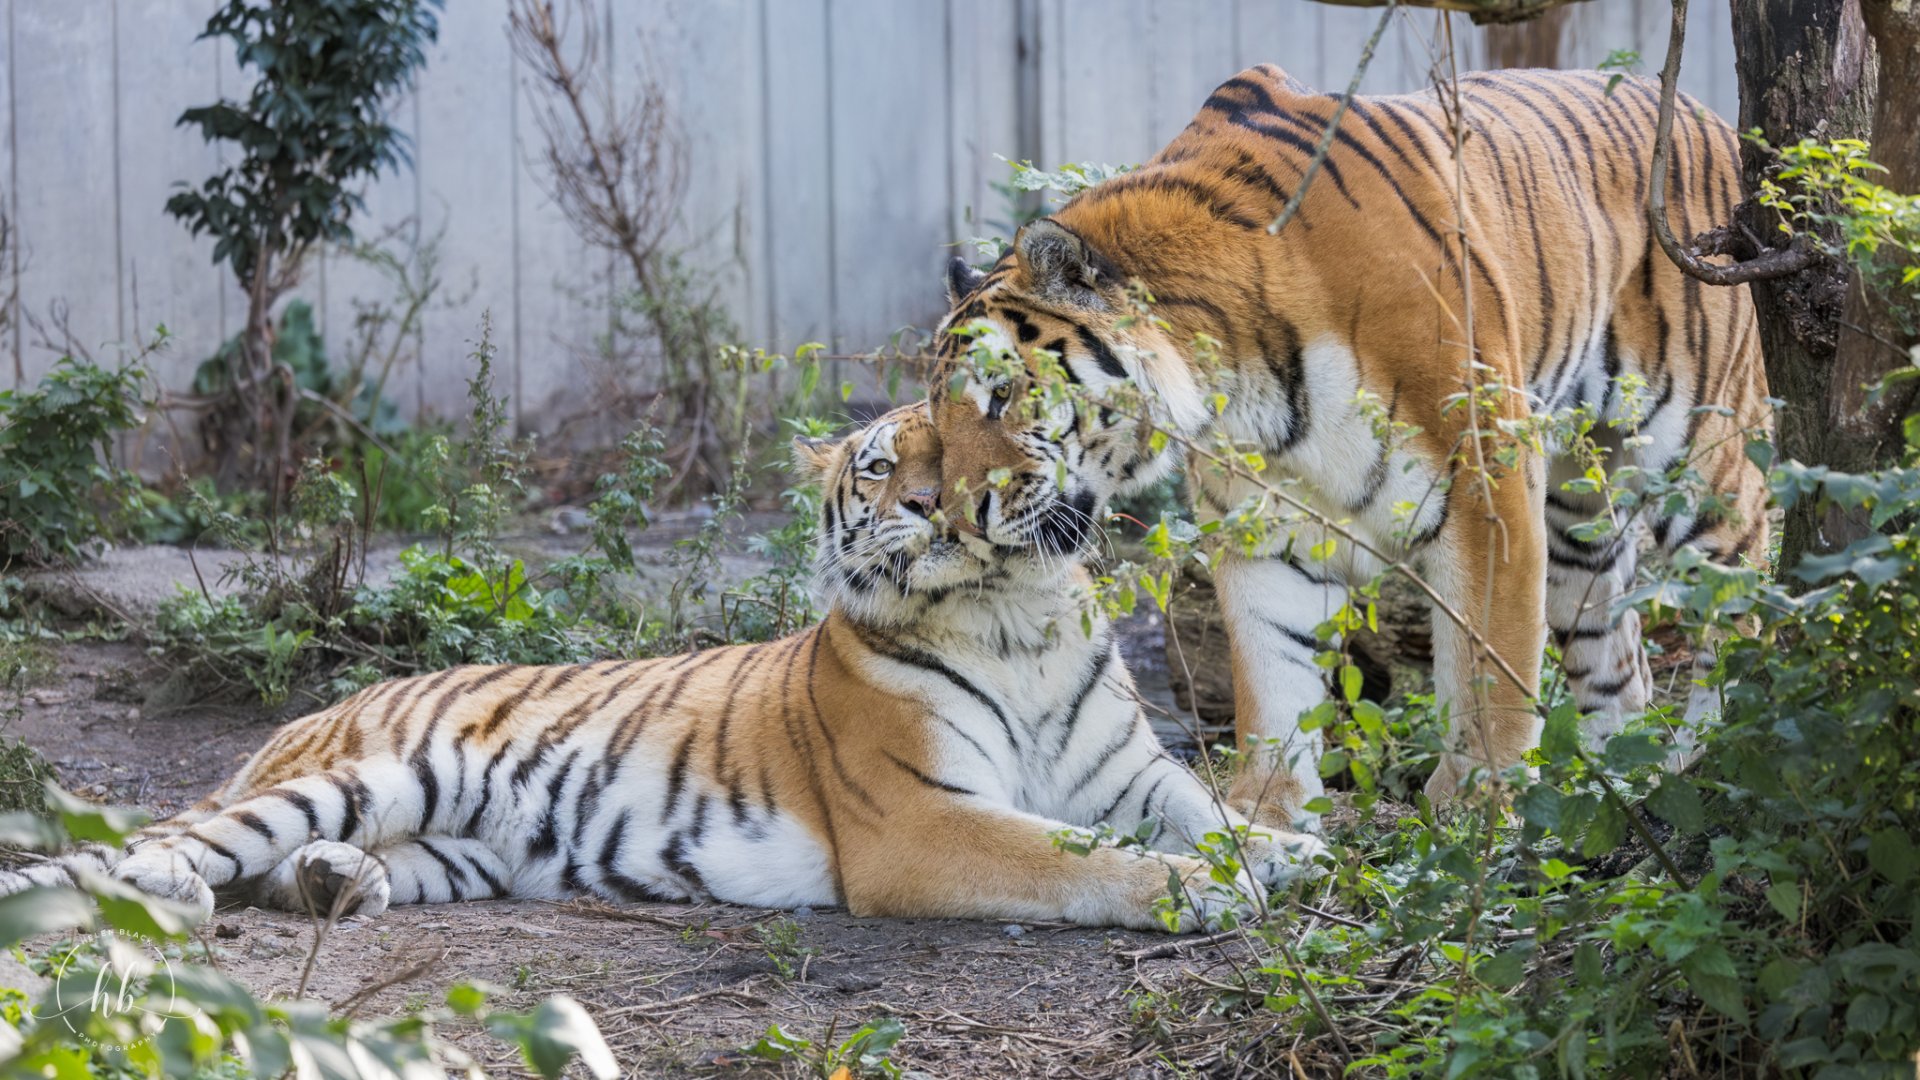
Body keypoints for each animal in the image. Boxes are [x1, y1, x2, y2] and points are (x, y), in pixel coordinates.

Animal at [5, 403, 1324, 932]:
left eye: (975, 435)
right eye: (878, 463)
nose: (929, 501)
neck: (1014, 620)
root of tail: (295, 721)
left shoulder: (1132, 776)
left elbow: (1212, 816)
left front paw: (1297, 856)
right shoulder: (923, 820)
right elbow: (1077, 857)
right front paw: (1206, 894)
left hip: (455, 845)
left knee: (295, 871)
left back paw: (335, 885)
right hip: (346, 778)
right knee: (160, 846)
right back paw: (161, 889)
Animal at [931, 65, 1770, 830]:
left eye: (1002, 394)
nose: (961, 520)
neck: (1240, 376)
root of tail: (1712, 117)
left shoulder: (1487, 480)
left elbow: (1485, 666)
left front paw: (1480, 808)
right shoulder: (1264, 524)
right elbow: (1269, 670)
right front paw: (1266, 813)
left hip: (1691, 448)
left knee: (1749, 569)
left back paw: (1717, 748)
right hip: (1577, 515)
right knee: (1618, 661)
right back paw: (1624, 783)